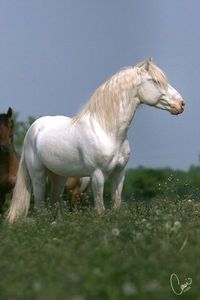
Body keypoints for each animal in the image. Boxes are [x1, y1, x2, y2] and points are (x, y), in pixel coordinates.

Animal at [8, 58, 186, 223]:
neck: (107, 130)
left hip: (59, 177)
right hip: (38, 176)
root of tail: (34, 128)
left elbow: (116, 206)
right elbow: (100, 209)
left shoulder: (119, 174)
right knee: (40, 208)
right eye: (155, 81)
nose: (181, 104)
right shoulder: (98, 175)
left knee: (54, 205)